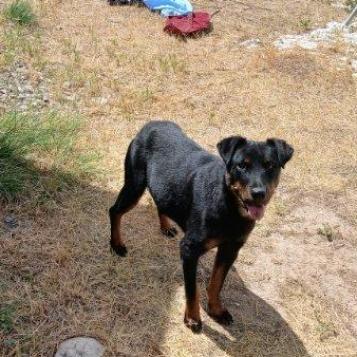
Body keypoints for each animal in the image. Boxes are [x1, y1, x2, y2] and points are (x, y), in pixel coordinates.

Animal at [108, 119, 292, 330]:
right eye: (241, 166)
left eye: (270, 166)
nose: (259, 193)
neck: (228, 204)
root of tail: (151, 124)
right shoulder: (189, 249)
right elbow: (192, 290)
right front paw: (193, 318)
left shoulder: (231, 248)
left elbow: (216, 282)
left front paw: (216, 310)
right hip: (135, 184)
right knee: (114, 211)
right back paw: (117, 245)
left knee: (161, 200)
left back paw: (165, 226)